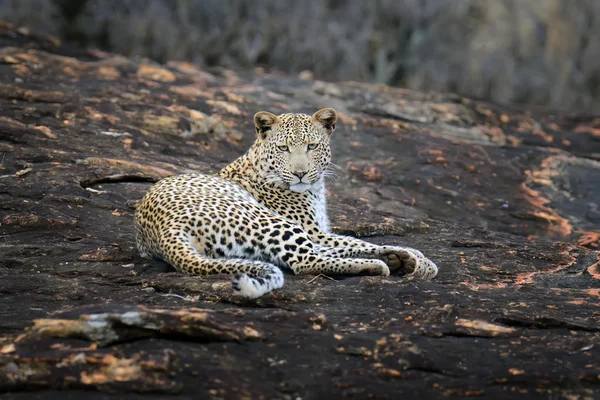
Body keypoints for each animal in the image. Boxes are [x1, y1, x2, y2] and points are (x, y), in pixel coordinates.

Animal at [134, 108, 438, 298]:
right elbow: (357, 241)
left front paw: (414, 257)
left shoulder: (320, 232)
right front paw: (420, 260)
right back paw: (377, 265)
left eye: (312, 147)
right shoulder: (315, 231)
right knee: (305, 261)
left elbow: (358, 242)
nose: (300, 173)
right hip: (265, 220)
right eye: (283, 148)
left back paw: (395, 260)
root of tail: (162, 232)